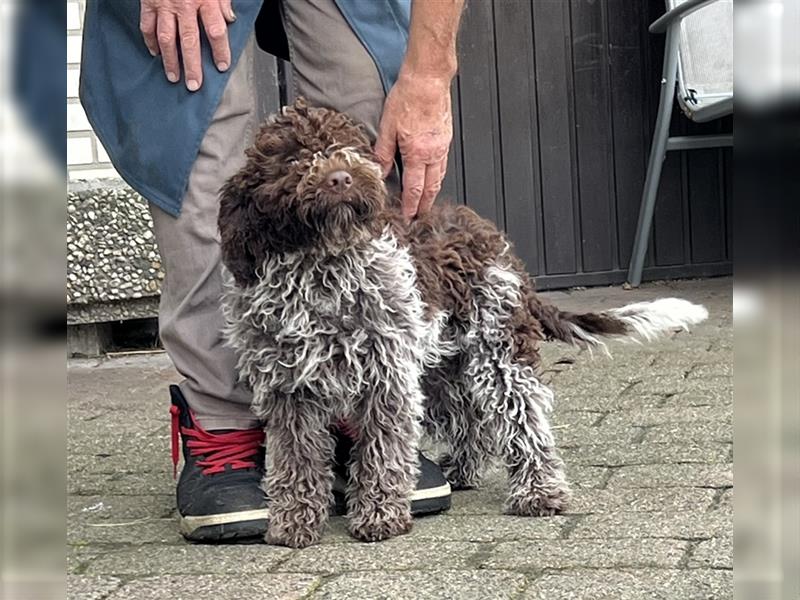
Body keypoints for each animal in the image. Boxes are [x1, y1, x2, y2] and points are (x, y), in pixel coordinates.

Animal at [214, 99, 708, 548]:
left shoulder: (385, 378)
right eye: (292, 158)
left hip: (497, 351)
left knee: (525, 417)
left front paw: (379, 515)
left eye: (348, 148)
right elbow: (294, 459)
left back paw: (538, 491)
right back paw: (464, 470)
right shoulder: (289, 389)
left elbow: (381, 451)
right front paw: (293, 522)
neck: (321, 271)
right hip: (438, 367)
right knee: (470, 419)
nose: (340, 178)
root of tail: (499, 245)